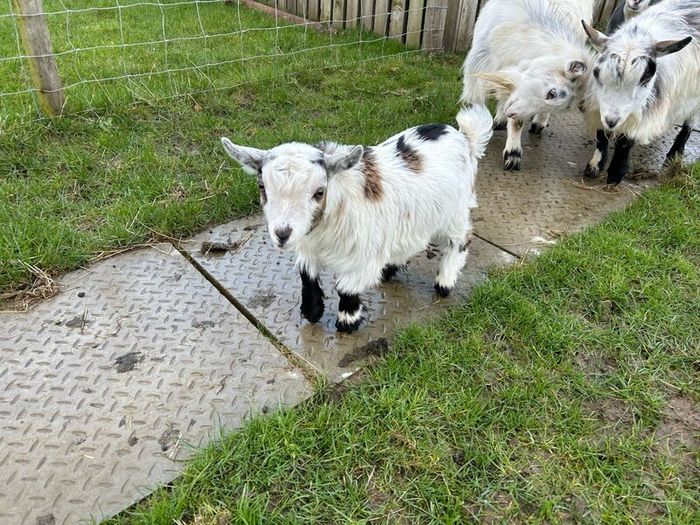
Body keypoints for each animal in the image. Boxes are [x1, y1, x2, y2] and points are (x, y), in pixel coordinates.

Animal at [220, 104, 493, 332]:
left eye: (319, 192)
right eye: (262, 187)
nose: (282, 234)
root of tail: (464, 137)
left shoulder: (365, 254)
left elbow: (345, 285)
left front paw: (348, 321)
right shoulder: (308, 246)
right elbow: (306, 274)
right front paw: (312, 310)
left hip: (455, 211)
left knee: (460, 240)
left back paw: (445, 282)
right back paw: (390, 269)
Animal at [461, 0, 595, 171]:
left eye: (563, 107)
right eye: (552, 93)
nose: (511, 113)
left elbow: (517, 121)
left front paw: (513, 154)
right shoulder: (479, 66)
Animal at [582, 0, 698, 184]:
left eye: (646, 78)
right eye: (596, 72)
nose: (612, 121)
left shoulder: (641, 109)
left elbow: (626, 140)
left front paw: (615, 174)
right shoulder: (600, 104)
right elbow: (602, 133)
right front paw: (595, 165)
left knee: (690, 122)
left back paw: (674, 156)